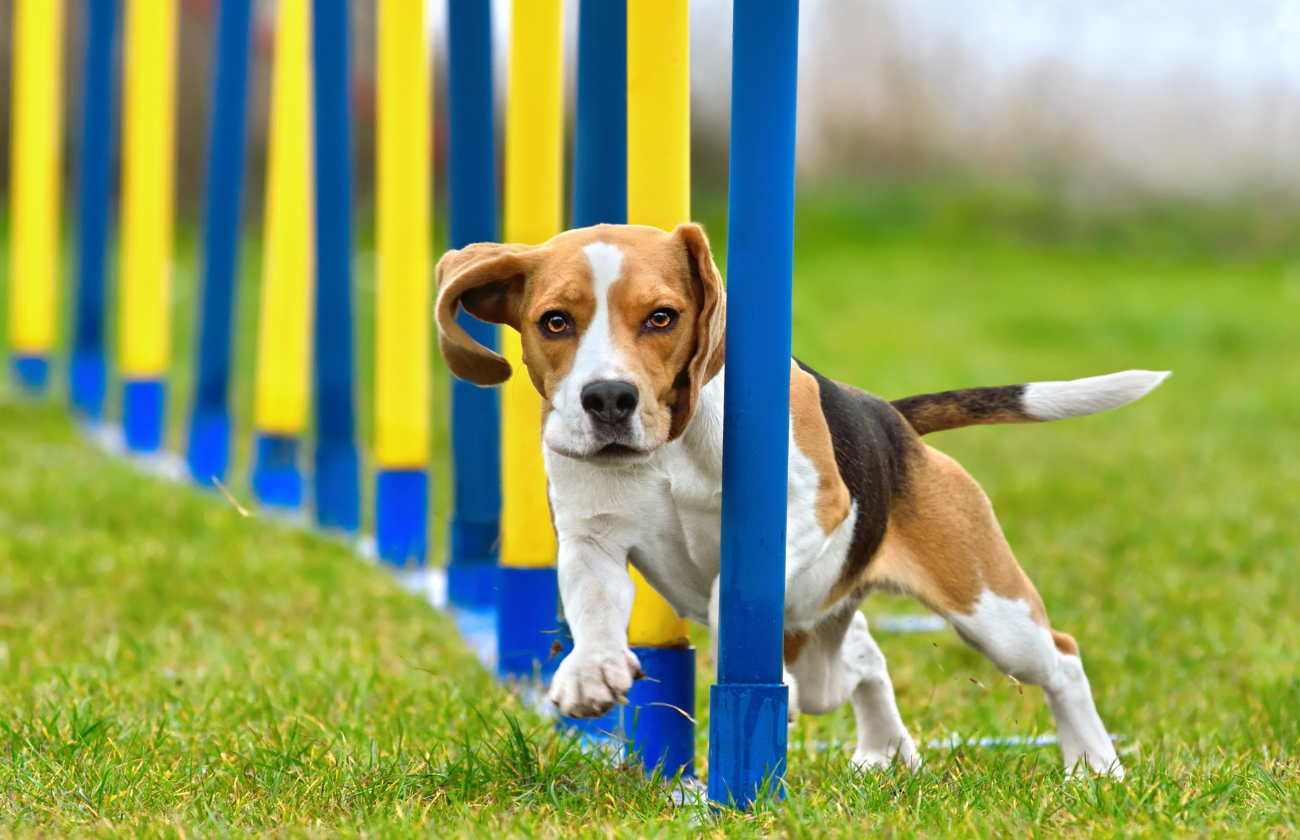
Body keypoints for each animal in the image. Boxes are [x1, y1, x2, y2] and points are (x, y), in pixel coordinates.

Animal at [439, 221, 1170, 780]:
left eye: (661, 318)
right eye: (554, 322)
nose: (608, 398)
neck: (669, 448)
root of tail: (892, 418)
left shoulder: (810, 511)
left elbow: (726, 595)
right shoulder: (592, 540)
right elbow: (592, 605)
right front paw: (592, 671)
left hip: (991, 610)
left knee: (1061, 659)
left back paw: (1095, 766)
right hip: (842, 638)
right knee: (864, 660)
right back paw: (885, 753)